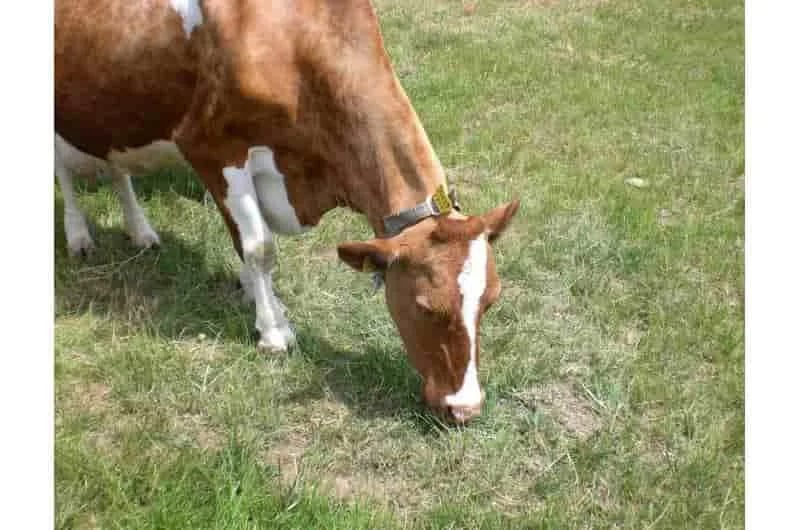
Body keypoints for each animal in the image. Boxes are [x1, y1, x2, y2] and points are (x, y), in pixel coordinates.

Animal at [55, 0, 520, 423]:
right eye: (425, 306)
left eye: (490, 302)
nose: (466, 408)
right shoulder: (212, 147)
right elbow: (259, 246)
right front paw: (274, 330)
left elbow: (242, 240)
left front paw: (256, 296)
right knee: (63, 173)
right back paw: (79, 237)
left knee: (116, 167)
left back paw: (140, 230)